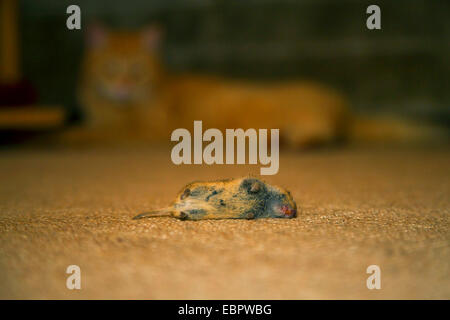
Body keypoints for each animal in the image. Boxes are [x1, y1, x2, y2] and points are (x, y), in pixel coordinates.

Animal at [68, 24, 442, 147]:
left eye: (137, 70)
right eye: (110, 68)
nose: (123, 86)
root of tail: (343, 108)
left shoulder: (145, 128)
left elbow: (94, 133)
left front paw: (66, 135)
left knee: (322, 132)